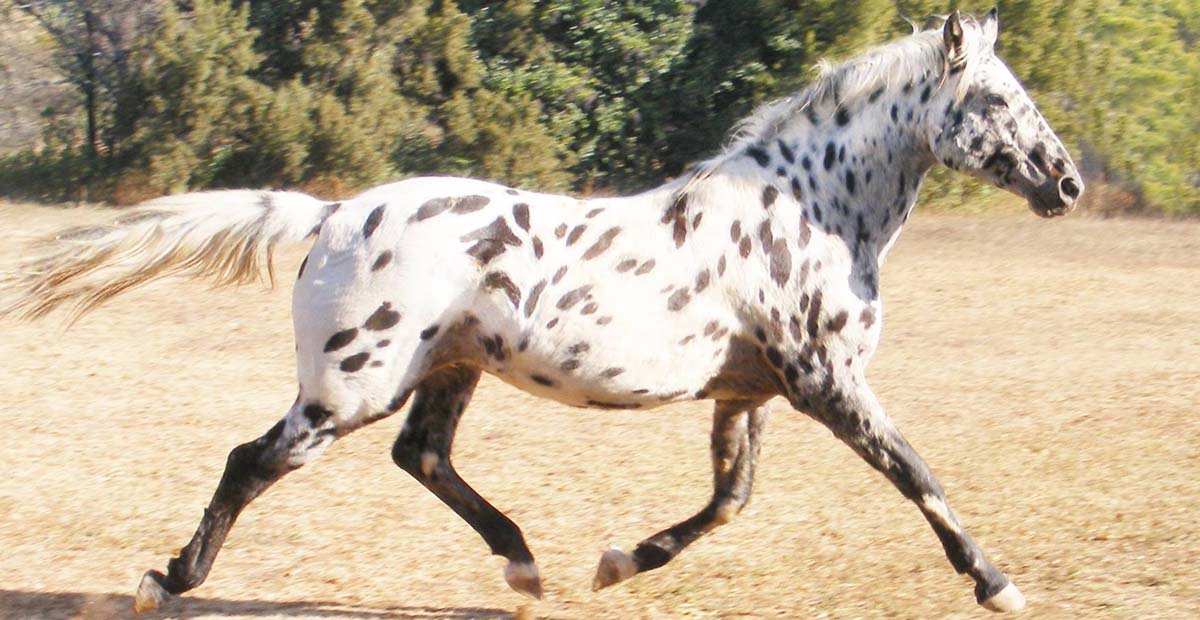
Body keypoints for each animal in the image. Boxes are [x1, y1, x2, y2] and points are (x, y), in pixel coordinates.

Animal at [0, 9, 1084, 614]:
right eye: (995, 99)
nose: (1067, 183)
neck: (804, 211)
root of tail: (333, 211)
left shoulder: (749, 392)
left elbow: (728, 502)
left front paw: (615, 563)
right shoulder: (827, 382)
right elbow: (917, 476)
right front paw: (999, 583)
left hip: (448, 368)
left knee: (423, 457)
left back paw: (525, 571)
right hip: (349, 387)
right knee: (252, 461)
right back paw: (164, 581)